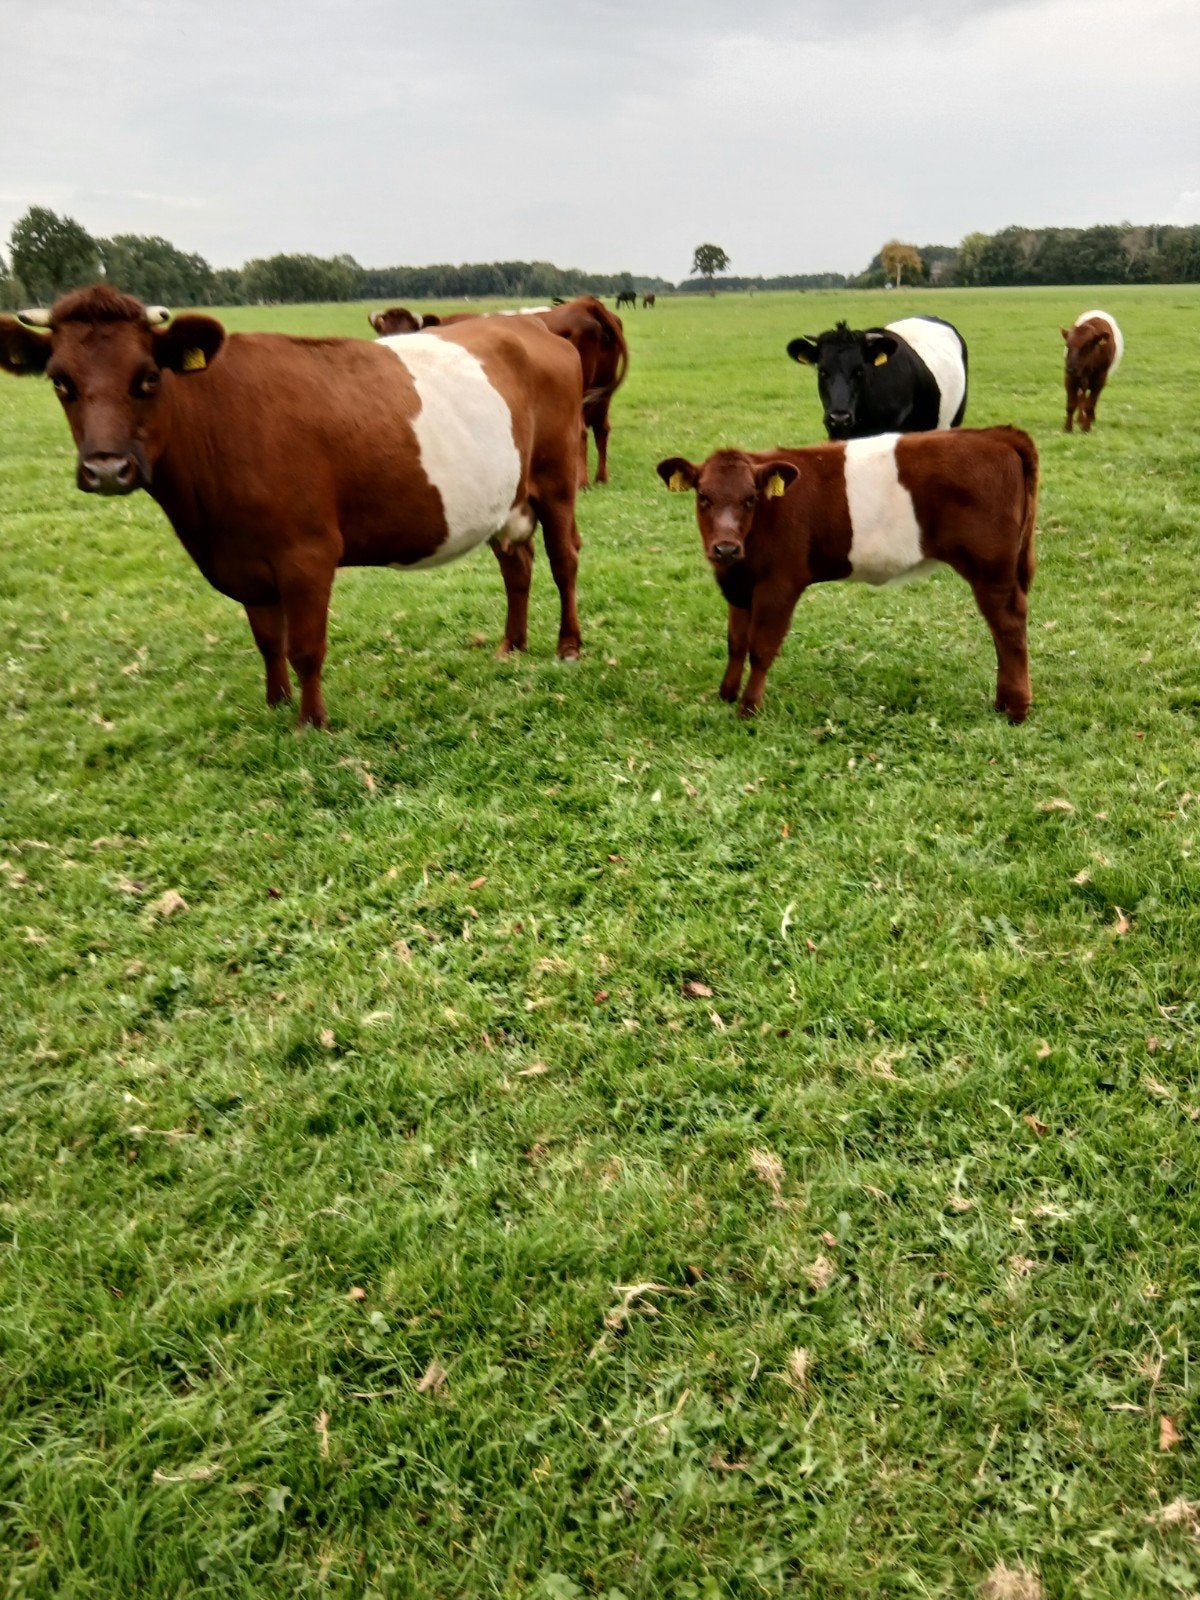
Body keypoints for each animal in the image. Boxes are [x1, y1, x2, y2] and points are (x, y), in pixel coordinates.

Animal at [0, 285, 585, 729]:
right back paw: (511, 646)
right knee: (517, 565)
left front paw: (311, 723)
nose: (105, 469)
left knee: (564, 559)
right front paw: (276, 704)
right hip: (506, 496)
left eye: (147, 376)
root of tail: (530, 328)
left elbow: (305, 646)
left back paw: (568, 647)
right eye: (60, 381)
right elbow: (268, 640)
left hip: (556, 482)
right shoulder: (245, 560)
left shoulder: (307, 554)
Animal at [656, 426, 1037, 723]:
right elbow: (736, 643)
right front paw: (727, 694)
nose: (725, 548)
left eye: (750, 499)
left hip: (991, 568)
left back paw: (1017, 710)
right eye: (703, 497)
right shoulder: (740, 586)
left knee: (1009, 626)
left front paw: (748, 709)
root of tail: (996, 435)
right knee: (1001, 631)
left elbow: (760, 648)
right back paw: (1003, 703)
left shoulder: (779, 584)